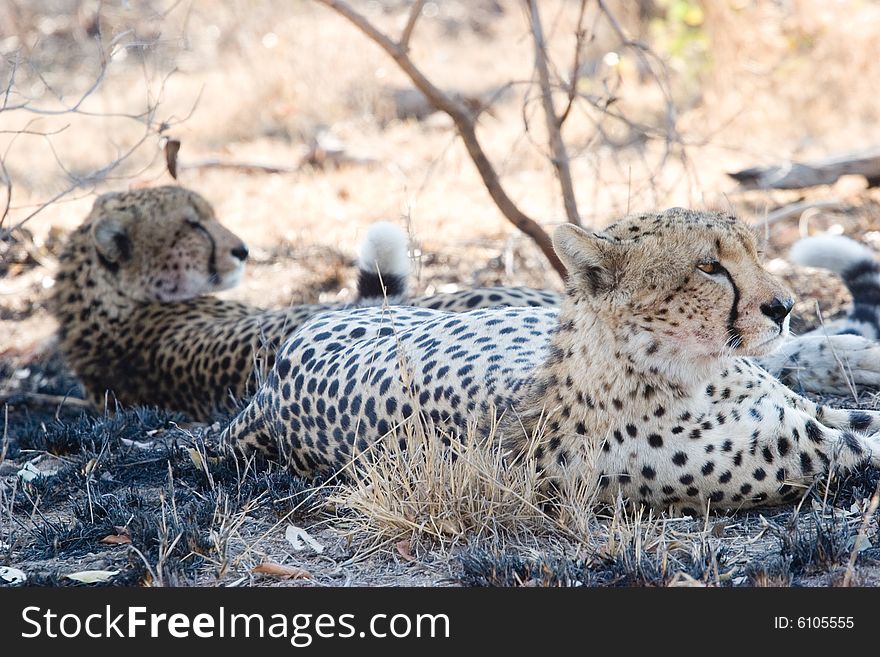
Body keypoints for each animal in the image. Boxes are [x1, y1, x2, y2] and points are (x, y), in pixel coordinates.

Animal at [225, 209, 880, 512]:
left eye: (753, 252)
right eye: (709, 266)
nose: (784, 306)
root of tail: (270, 386)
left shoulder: (814, 416)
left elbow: (860, 417)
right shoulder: (819, 449)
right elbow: (866, 445)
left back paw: (851, 353)